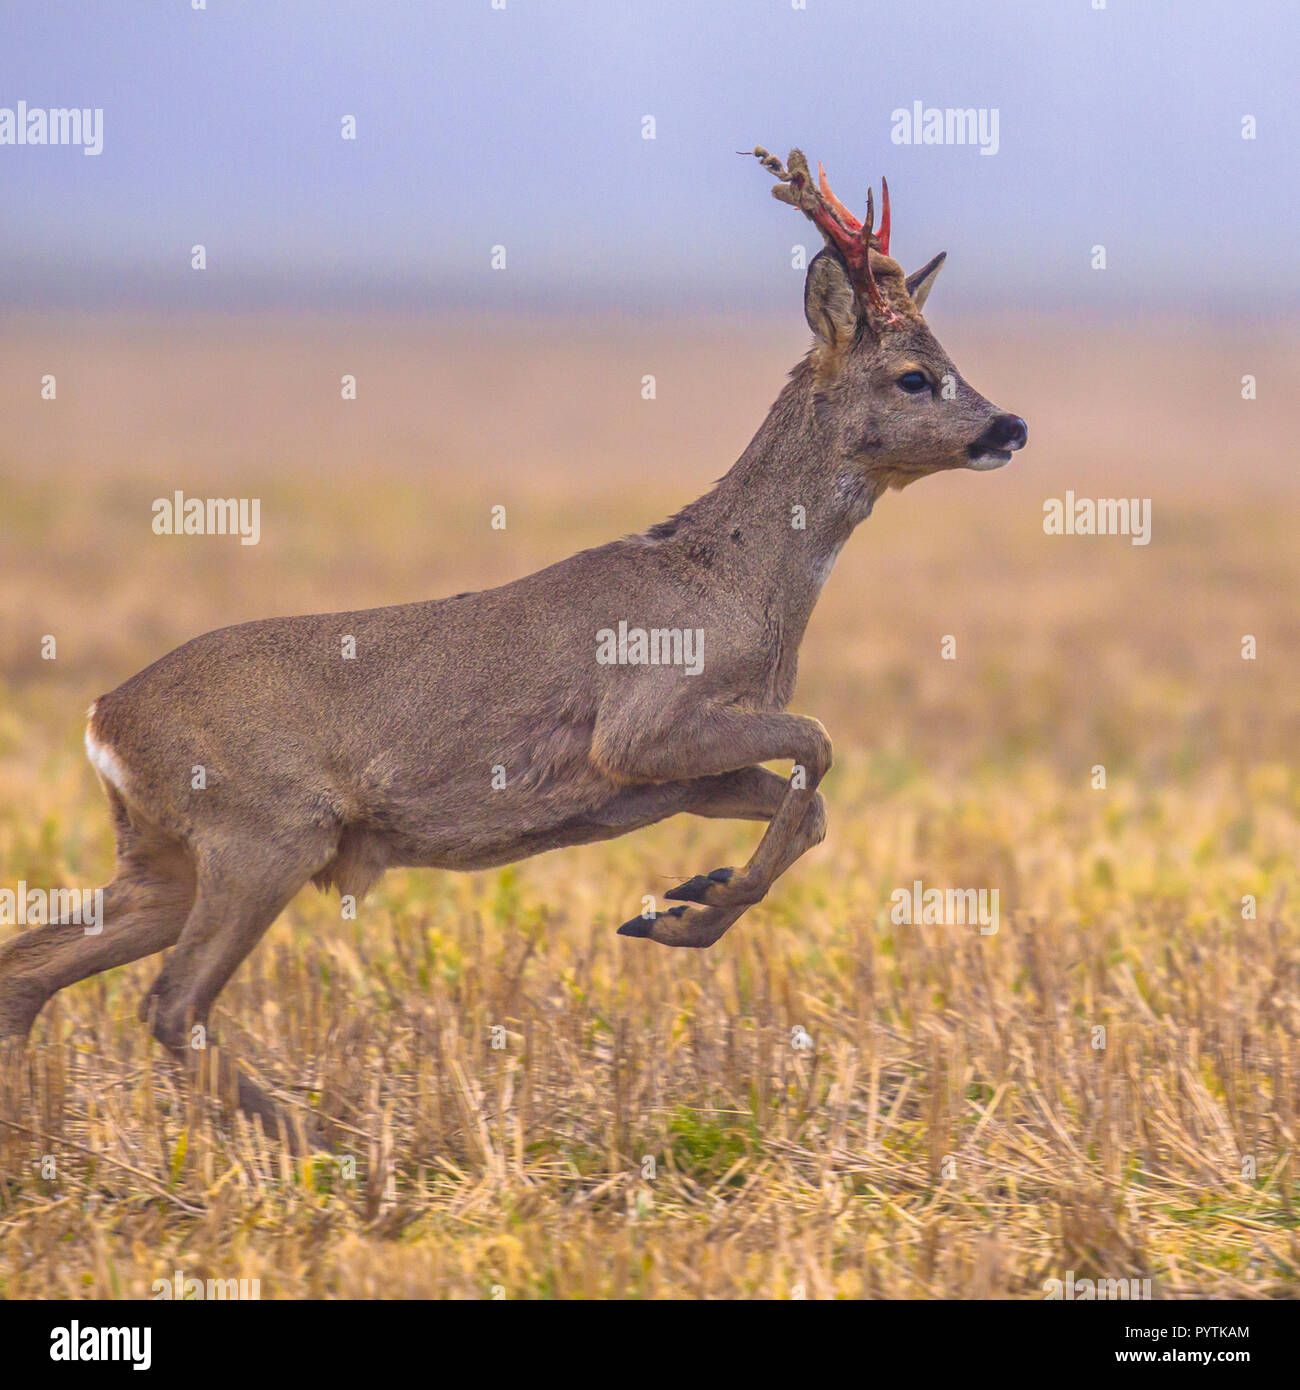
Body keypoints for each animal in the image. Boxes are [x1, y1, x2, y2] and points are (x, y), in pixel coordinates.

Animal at [0, 147, 1026, 1144]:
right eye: (914, 376)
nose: (1010, 425)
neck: (735, 588)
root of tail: (103, 717)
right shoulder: (642, 727)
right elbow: (819, 744)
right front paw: (683, 911)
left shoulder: (676, 778)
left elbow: (809, 812)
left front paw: (690, 899)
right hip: (264, 831)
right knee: (172, 1002)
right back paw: (326, 1146)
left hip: (164, 855)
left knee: (30, 968)